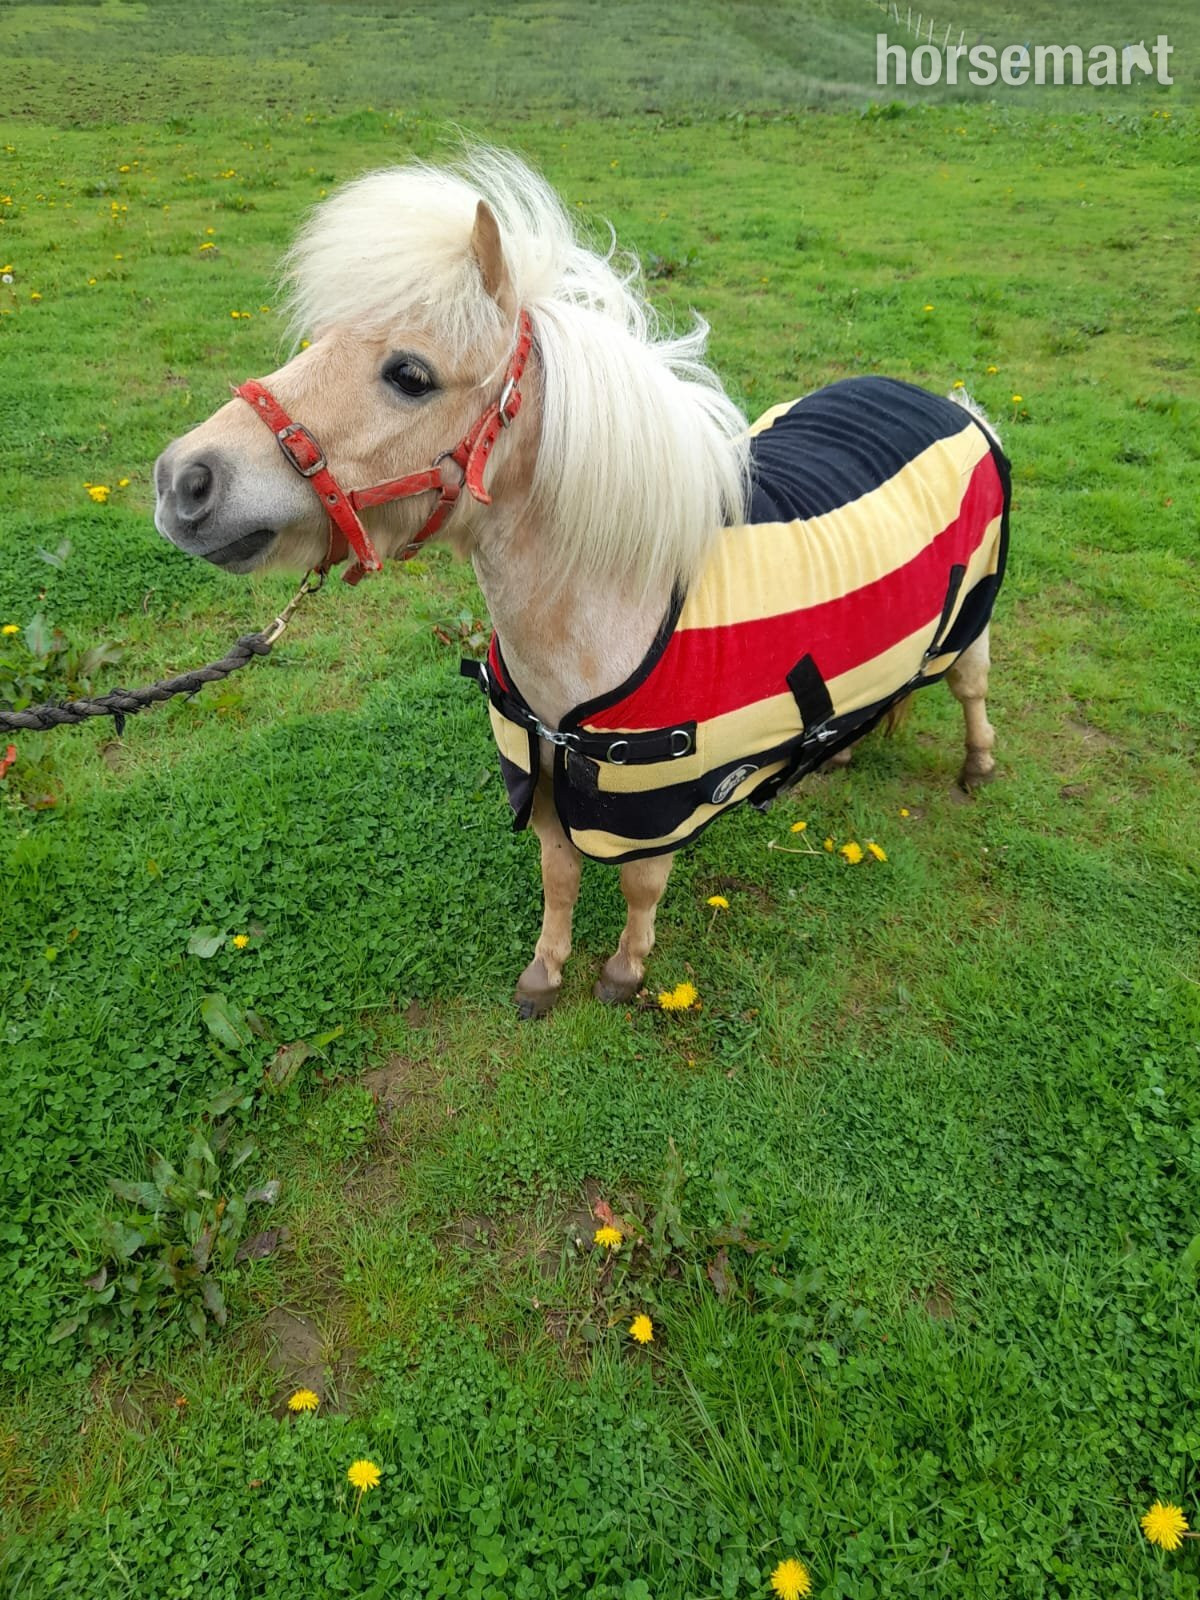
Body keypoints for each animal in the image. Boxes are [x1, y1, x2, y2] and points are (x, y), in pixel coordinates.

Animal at [154, 147, 1009, 1019]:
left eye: (410, 374)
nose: (183, 482)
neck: (617, 610)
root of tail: (949, 405)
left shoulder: (662, 808)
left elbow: (640, 887)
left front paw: (625, 972)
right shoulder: (544, 787)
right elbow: (559, 878)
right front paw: (545, 973)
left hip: (971, 618)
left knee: (970, 686)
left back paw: (977, 767)